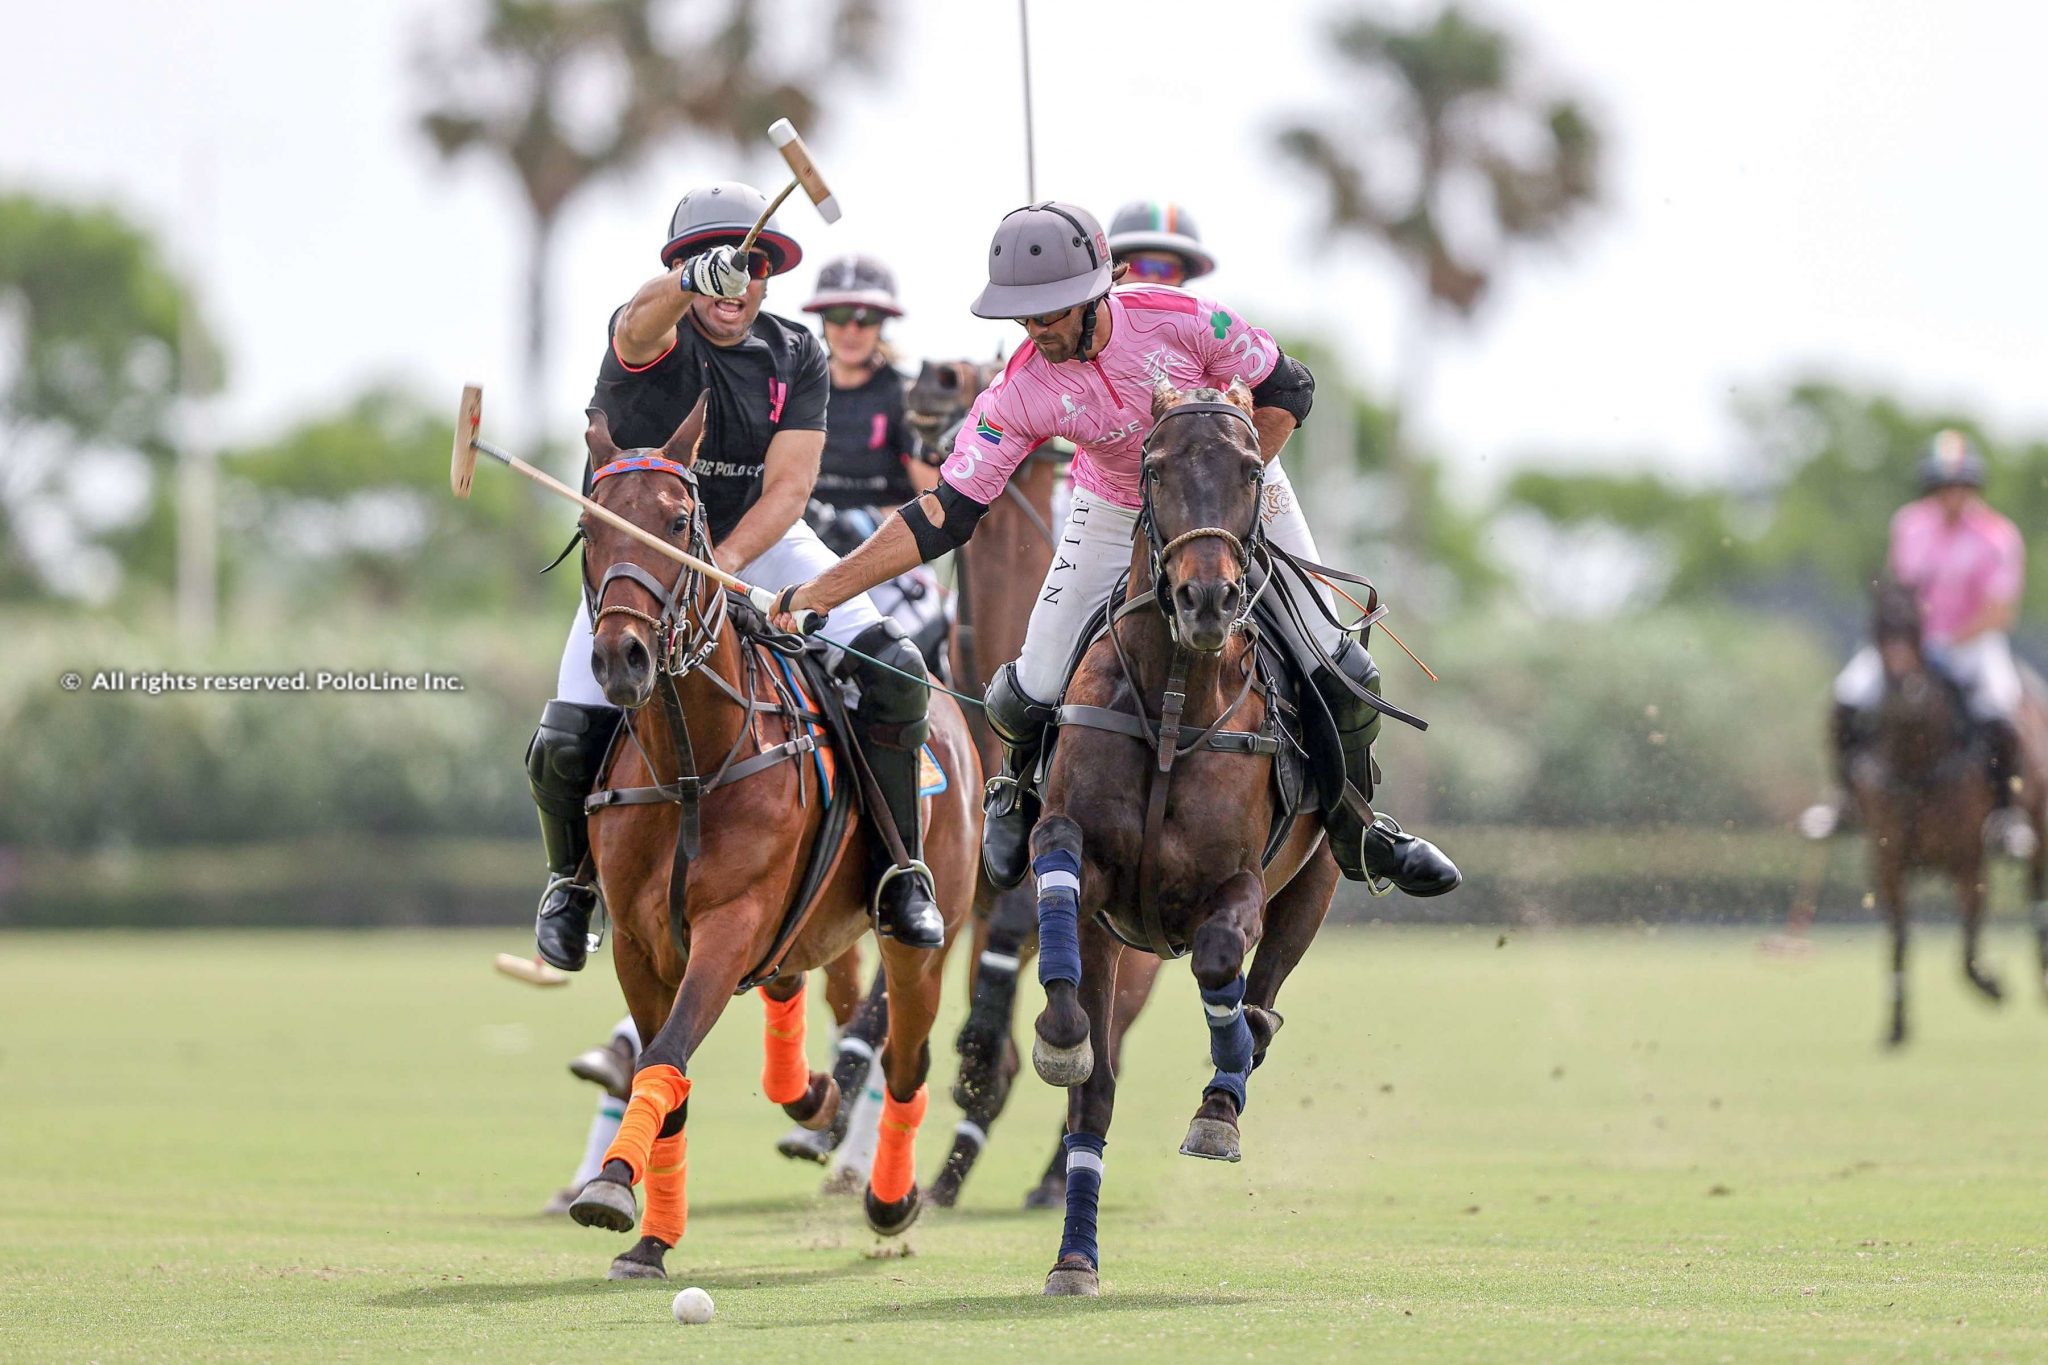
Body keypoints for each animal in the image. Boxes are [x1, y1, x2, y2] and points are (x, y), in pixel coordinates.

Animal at [557, 403, 978, 1285]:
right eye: (589, 527)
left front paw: (611, 1187)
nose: (620, 657)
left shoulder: (731, 921)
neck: (690, 762)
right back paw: (813, 1095)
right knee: (792, 989)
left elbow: (669, 1051)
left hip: (924, 936)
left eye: (679, 522)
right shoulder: (639, 945)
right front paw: (647, 1237)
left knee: (907, 1061)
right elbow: (668, 1074)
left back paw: (890, 1196)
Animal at [1024, 382, 1376, 1293]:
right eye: (1153, 467)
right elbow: (1057, 871)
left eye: (1251, 469)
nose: (1209, 601)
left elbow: (1222, 958)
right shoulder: (1089, 873)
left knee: (1263, 991)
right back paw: (1075, 1253)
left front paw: (1219, 1103)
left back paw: (1233, 1075)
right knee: (1098, 1091)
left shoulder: (1240, 881)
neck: (1178, 693)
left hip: (1317, 879)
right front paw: (1059, 1035)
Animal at [1859, 581, 2048, 1047]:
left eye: (1916, 627)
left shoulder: (1968, 860)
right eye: (1876, 627)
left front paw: (1993, 986)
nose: (1904, 689)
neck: (1914, 762)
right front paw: (1896, 1027)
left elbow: (1967, 947)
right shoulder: (1887, 861)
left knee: (2037, 900)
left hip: (2040, 831)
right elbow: (1900, 937)